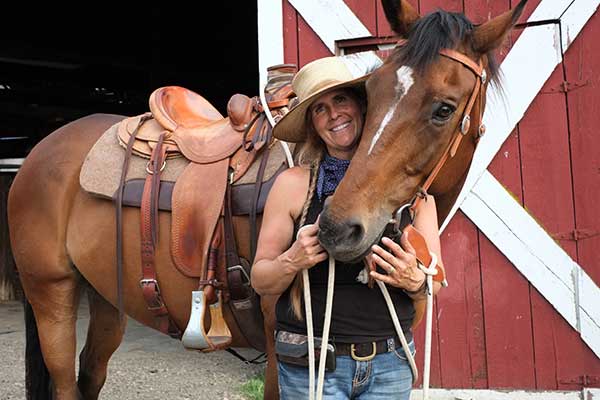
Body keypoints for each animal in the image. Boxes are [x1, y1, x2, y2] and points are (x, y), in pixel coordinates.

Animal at [7, 0, 528, 400]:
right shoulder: (284, 354)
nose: (338, 228)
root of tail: (40, 150)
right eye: (372, 91)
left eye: (443, 108)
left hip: (105, 298)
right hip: (52, 294)